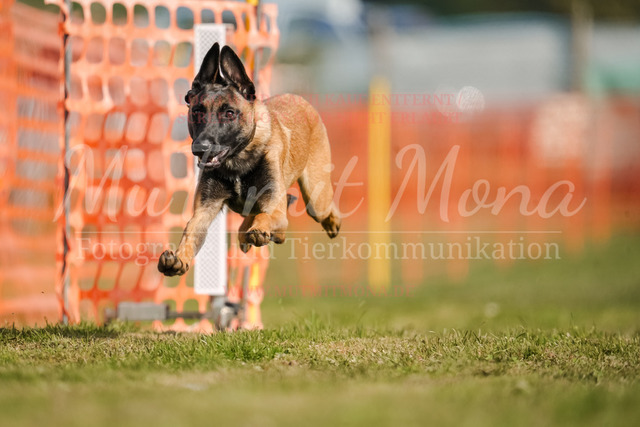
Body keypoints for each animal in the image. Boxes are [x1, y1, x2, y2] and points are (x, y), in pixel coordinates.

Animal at [158, 43, 341, 276]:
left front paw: (260, 230)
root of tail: (299, 98)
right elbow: (190, 233)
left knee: (320, 208)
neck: (237, 163)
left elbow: (266, 216)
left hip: (316, 198)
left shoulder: (274, 207)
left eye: (229, 113)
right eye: (197, 111)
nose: (201, 148)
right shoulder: (203, 211)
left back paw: (332, 222)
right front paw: (178, 259)